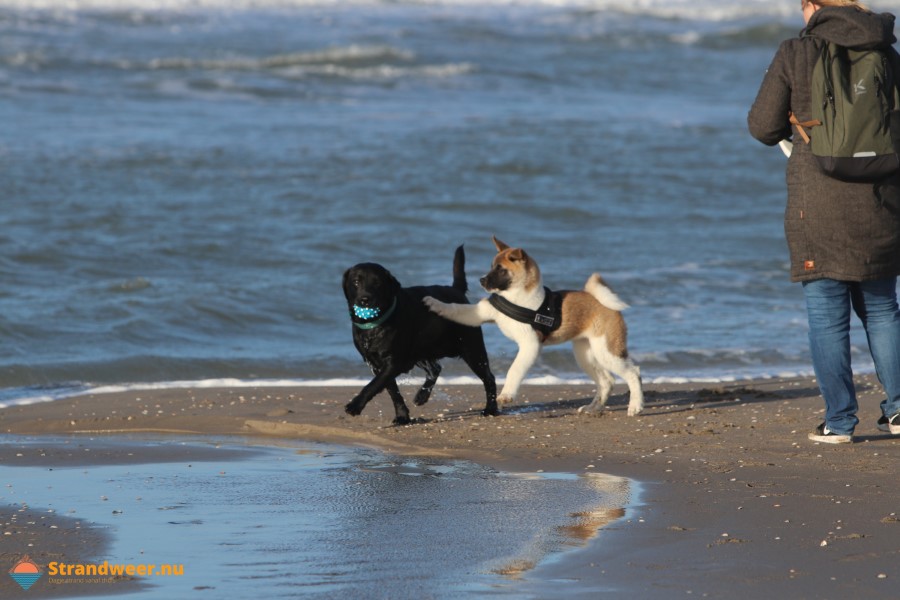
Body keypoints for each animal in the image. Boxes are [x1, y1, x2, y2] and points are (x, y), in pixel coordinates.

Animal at [342, 245, 500, 426]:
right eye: (356, 282)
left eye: (377, 283)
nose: (365, 299)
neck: (375, 325)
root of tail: (455, 290)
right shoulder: (377, 364)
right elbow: (393, 392)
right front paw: (402, 416)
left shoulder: (393, 362)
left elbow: (373, 385)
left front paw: (355, 405)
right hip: (420, 350)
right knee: (435, 369)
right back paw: (422, 396)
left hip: (472, 350)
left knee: (489, 378)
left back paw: (491, 409)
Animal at [426, 237, 644, 414]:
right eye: (491, 266)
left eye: (501, 269)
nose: (481, 280)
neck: (516, 297)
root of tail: (603, 302)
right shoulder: (479, 314)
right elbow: (455, 309)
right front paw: (432, 303)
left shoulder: (529, 345)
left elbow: (514, 369)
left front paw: (506, 395)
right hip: (586, 355)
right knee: (607, 381)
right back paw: (593, 408)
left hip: (607, 351)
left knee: (633, 373)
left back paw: (635, 406)